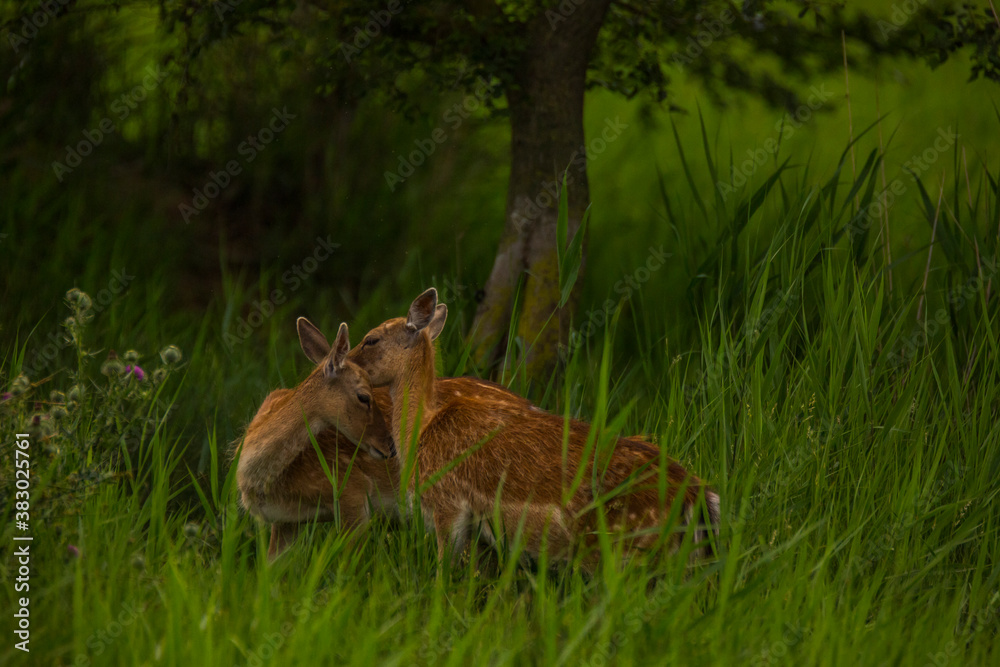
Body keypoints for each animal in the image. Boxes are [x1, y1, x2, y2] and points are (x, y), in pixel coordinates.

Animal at [345, 287, 720, 572]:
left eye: (371, 339)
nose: (344, 365)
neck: (421, 430)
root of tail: (696, 496)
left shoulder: (446, 502)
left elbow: (444, 569)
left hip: (623, 546)